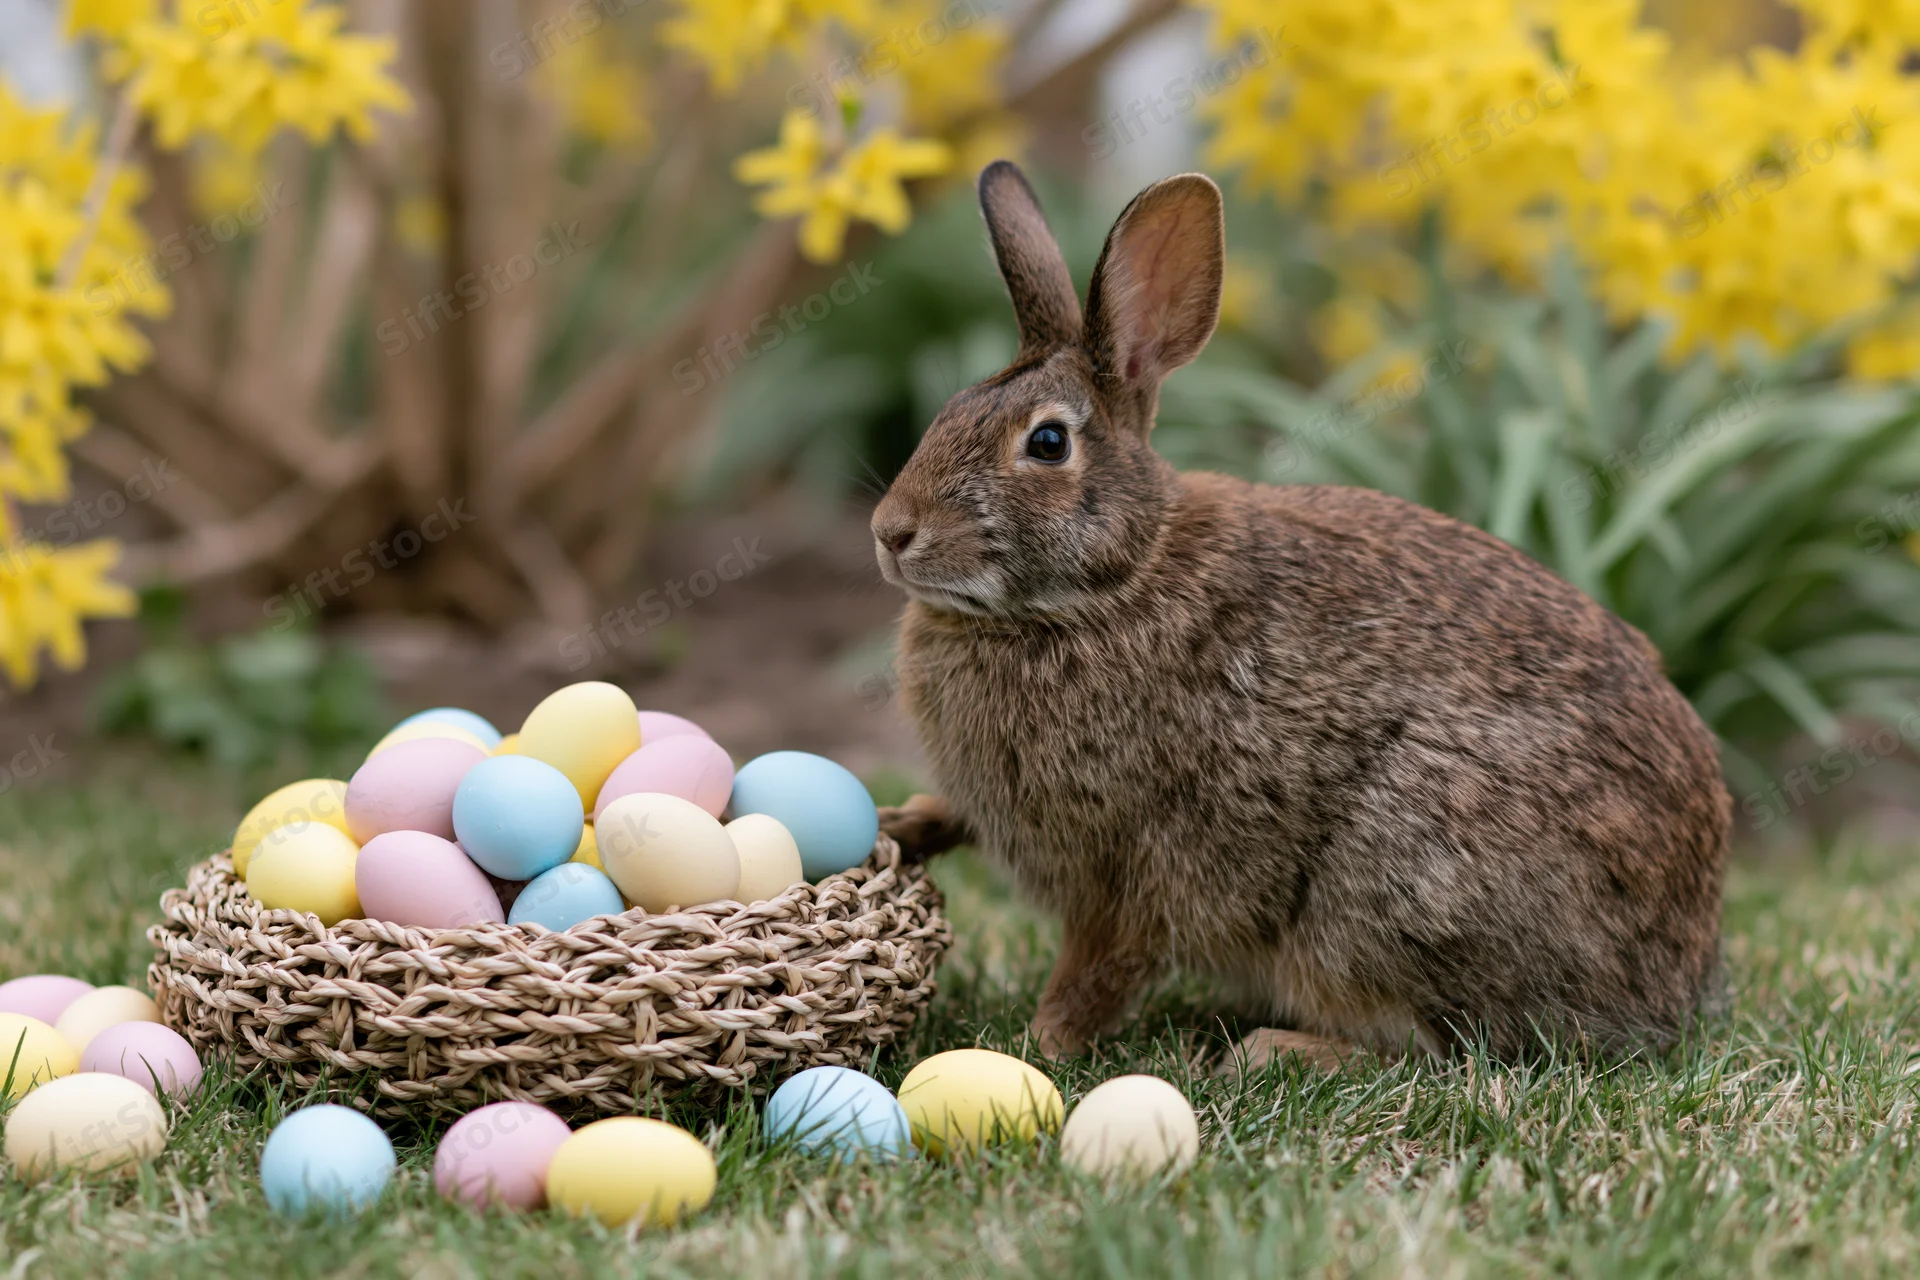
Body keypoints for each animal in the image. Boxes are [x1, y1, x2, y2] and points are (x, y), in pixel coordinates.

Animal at [870, 161, 1730, 1068]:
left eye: (1045, 444)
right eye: (951, 410)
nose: (891, 532)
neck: (1114, 582)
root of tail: (1672, 984)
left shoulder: (1133, 864)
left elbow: (1101, 963)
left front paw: (1037, 1046)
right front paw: (904, 824)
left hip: (1391, 888)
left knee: (1446, 1048)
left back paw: (1273, 1048)